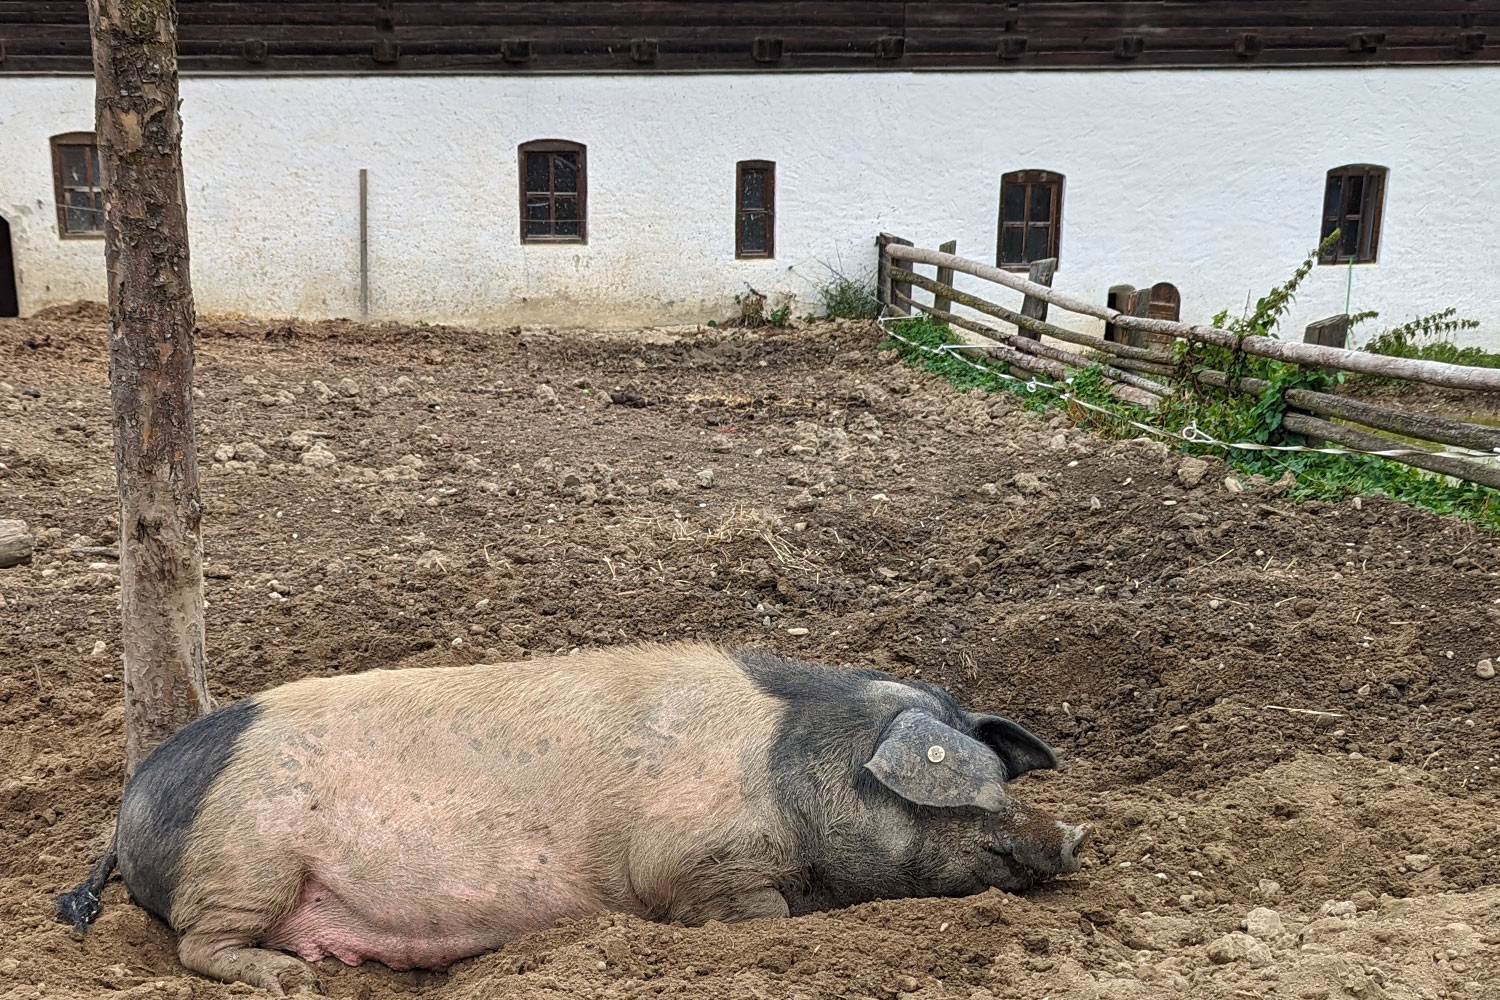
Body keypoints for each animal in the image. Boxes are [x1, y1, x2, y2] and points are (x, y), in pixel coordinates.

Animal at [61, 641, 1092, 995]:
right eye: (974, 794)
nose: (1071, 839)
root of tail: (125, 813)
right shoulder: (697, 868)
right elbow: (751, 918)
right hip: (246, 859)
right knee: (199, 943)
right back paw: (288, 982)